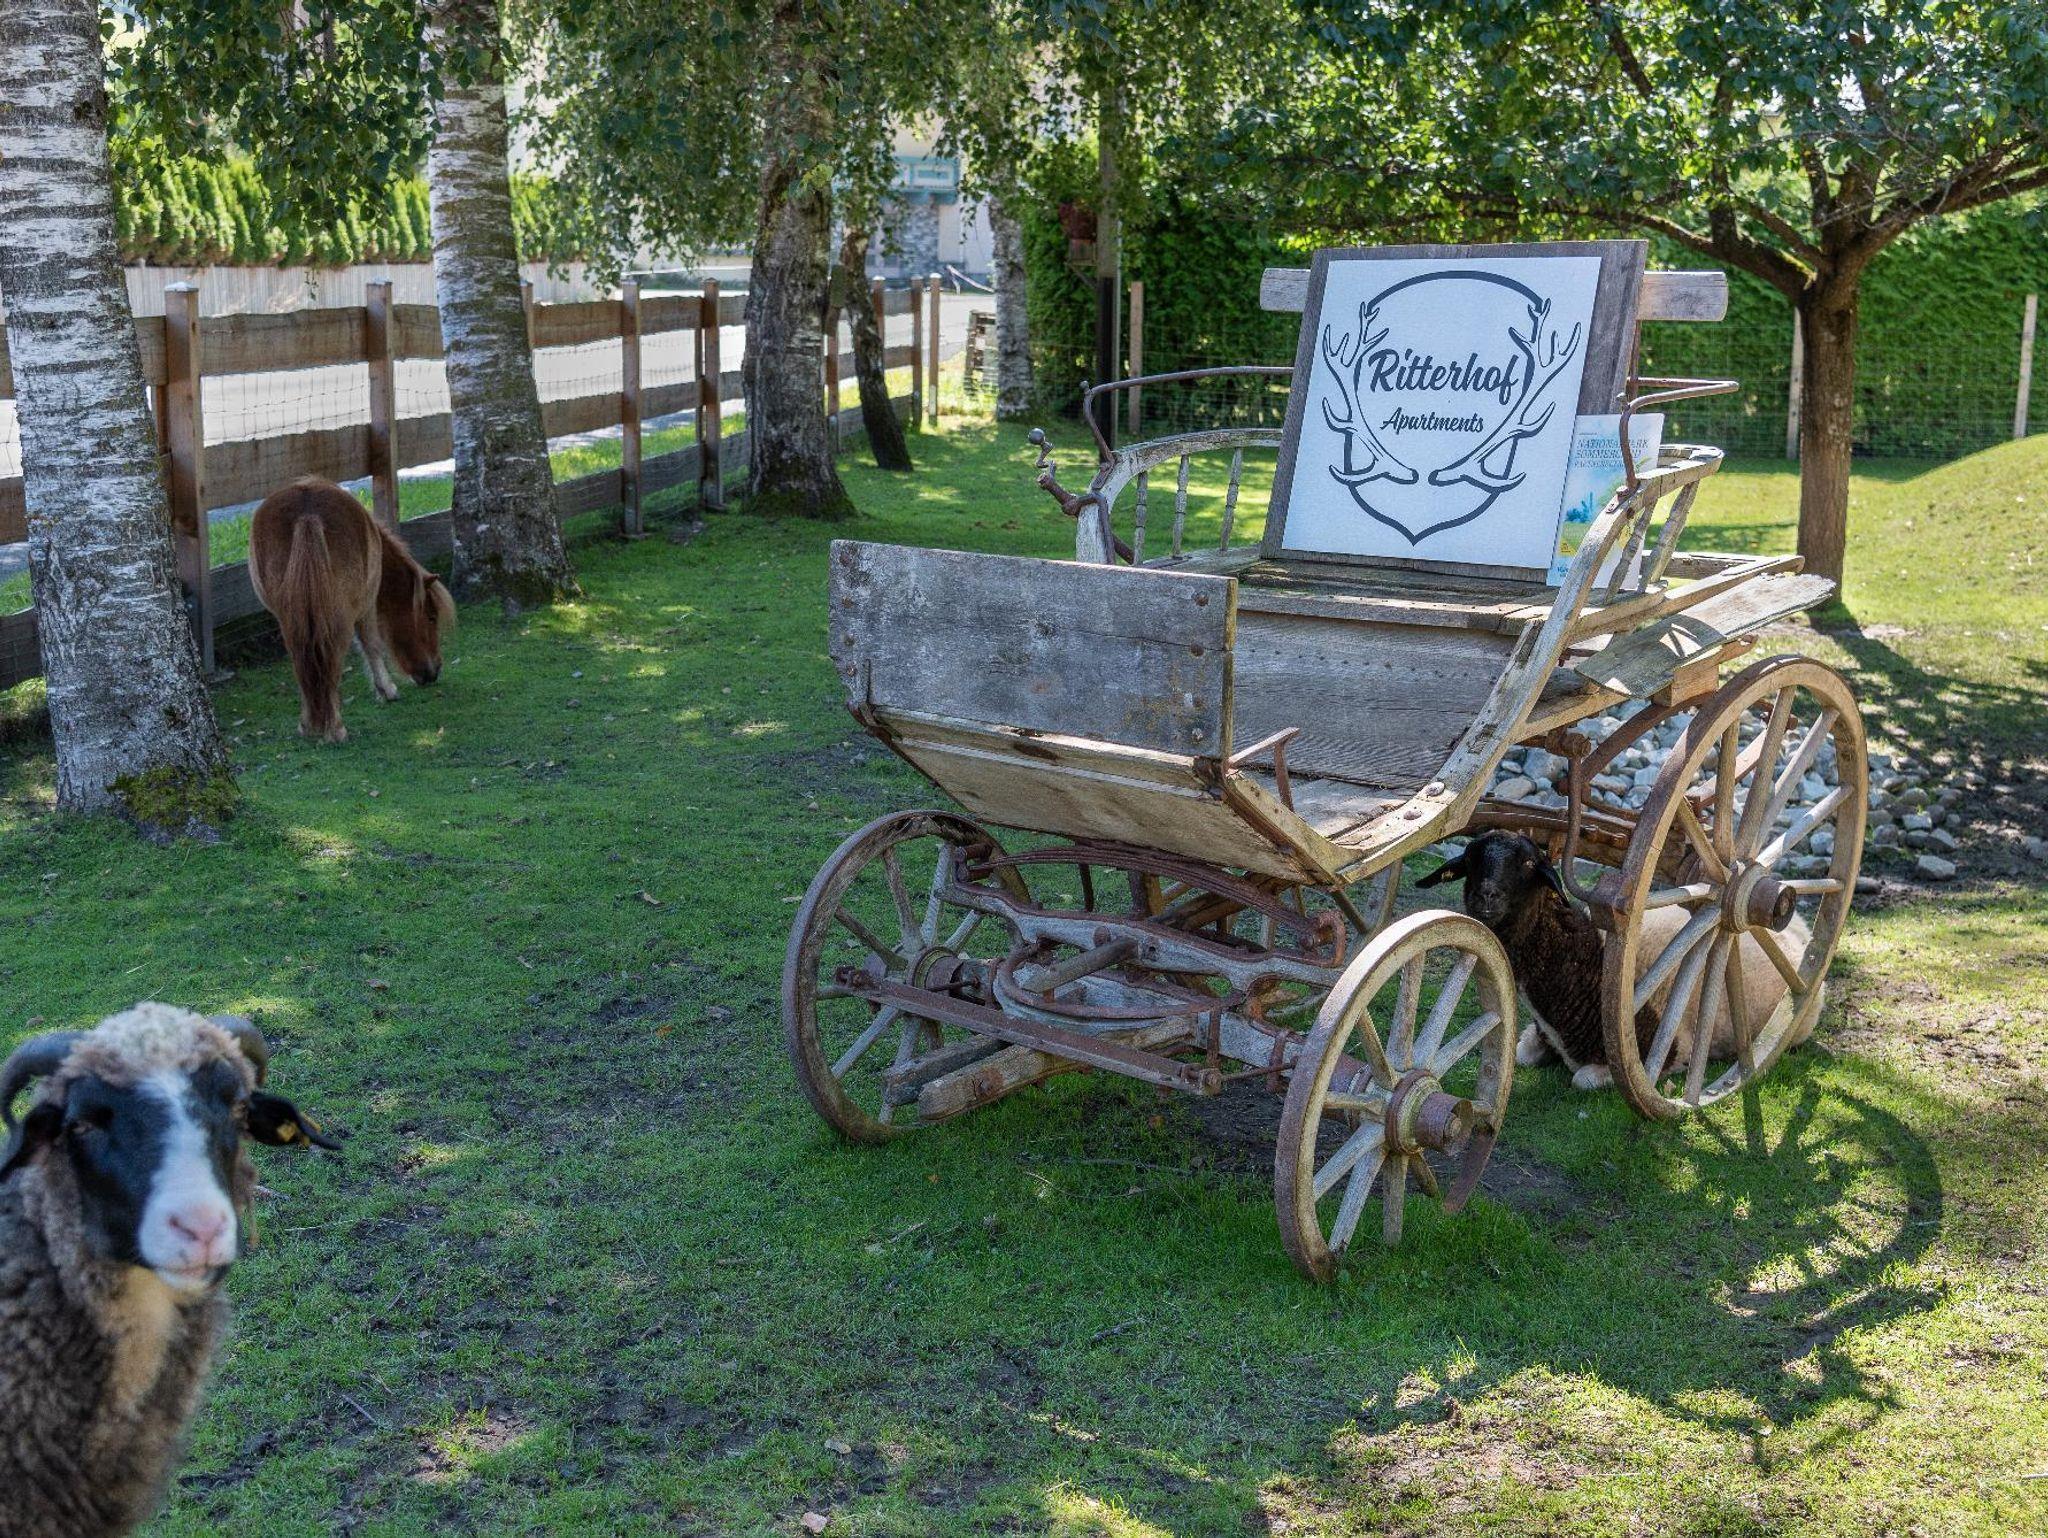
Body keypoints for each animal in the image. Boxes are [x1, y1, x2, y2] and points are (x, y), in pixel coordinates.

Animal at [248, 478, 455, 742]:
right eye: (431, 617)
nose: (434, 671)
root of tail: (307, 513)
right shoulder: (367, 604)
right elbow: (371, 645)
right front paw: (387, 691)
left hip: (291, 619)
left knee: (300, 658)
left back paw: (308, 725)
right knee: (333, 658)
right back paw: (335, 729)